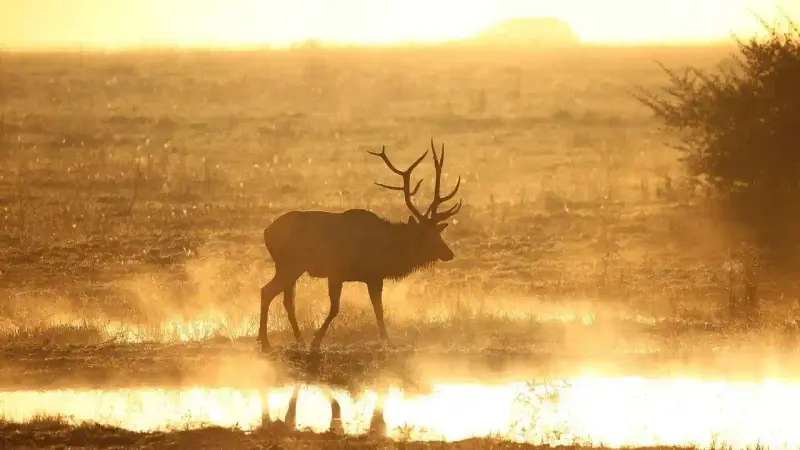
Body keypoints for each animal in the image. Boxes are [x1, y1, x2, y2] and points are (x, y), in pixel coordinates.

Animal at [257, 139, 462, 352]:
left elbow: (378, 309)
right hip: (289, 264)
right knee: (267, 291)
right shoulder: (339, 272)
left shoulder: (373, 277)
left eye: (438, 233)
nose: (449, 253)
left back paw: (298, 340)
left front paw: (387, 340)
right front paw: (317, 340)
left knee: (287, 300)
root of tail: (266, 233)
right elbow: (337, 308)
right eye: (428, 235)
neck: (389, 249)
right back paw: (265, 341)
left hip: (292, 268)